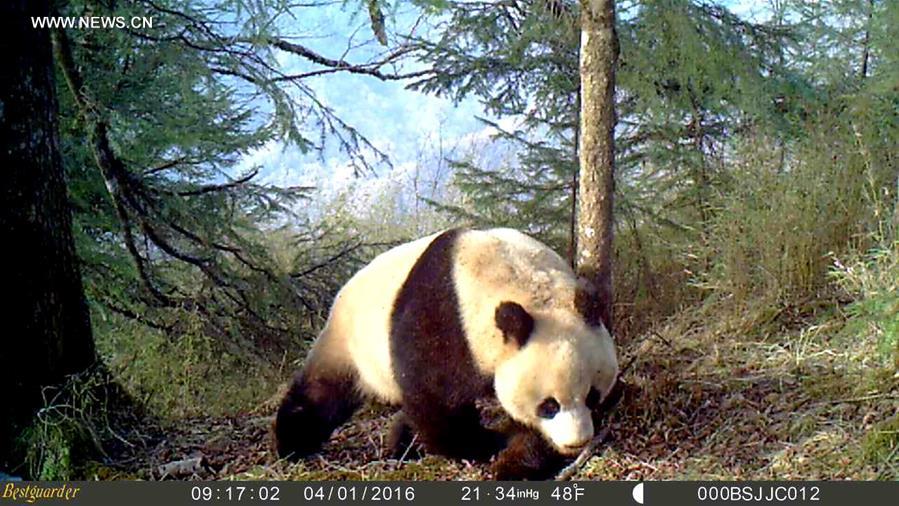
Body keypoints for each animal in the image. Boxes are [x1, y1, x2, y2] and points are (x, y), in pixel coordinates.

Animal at [276, 227, 620, 480]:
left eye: (592, 395)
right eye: (549, 405)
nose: (577, 443)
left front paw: (516, 461)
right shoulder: (442, 320)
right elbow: (434, 397)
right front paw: (483, 445)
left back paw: (400, 443)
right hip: (349, 342)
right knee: (322, 393)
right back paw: (290, 443)